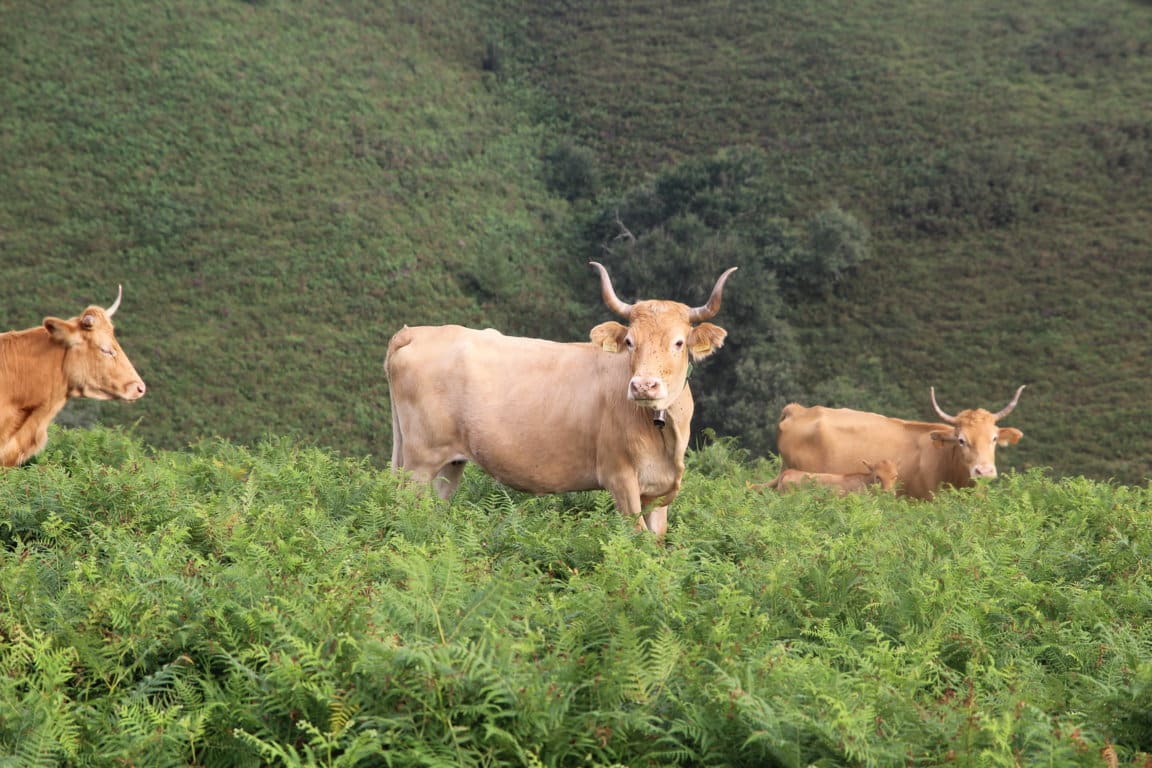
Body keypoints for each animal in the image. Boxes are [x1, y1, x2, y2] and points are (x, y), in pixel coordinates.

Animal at [382, 261, 732, 538]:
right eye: (631, 342)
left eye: (679, 342)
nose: (644, 386)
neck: (662, 432)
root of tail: (417, 332)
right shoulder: (619, 477)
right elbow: (637, 537)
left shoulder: (660, 492)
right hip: (418, 461)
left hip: (449, 463)